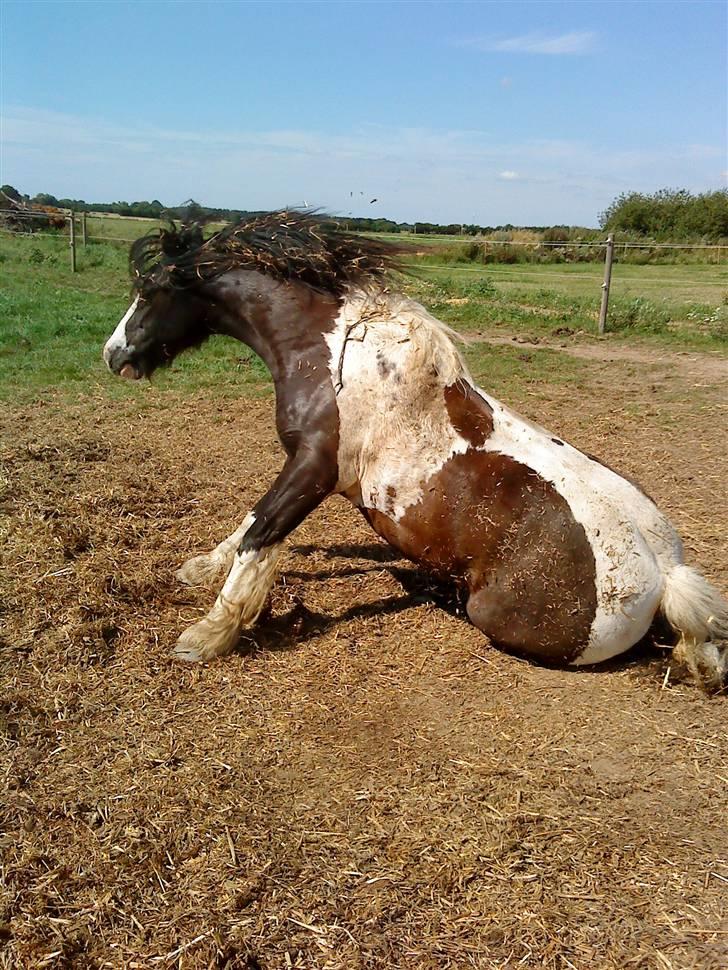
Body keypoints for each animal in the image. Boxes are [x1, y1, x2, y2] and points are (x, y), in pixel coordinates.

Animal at [104, 212, 728, 688]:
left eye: (150, 292)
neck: (329, 351)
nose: (114, 355)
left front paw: (207, 636)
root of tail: (665, 571)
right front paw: (200, 570)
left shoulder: (313, 469)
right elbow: (251, 522)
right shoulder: (303, 468)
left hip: (493, 613)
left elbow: (262, 533)